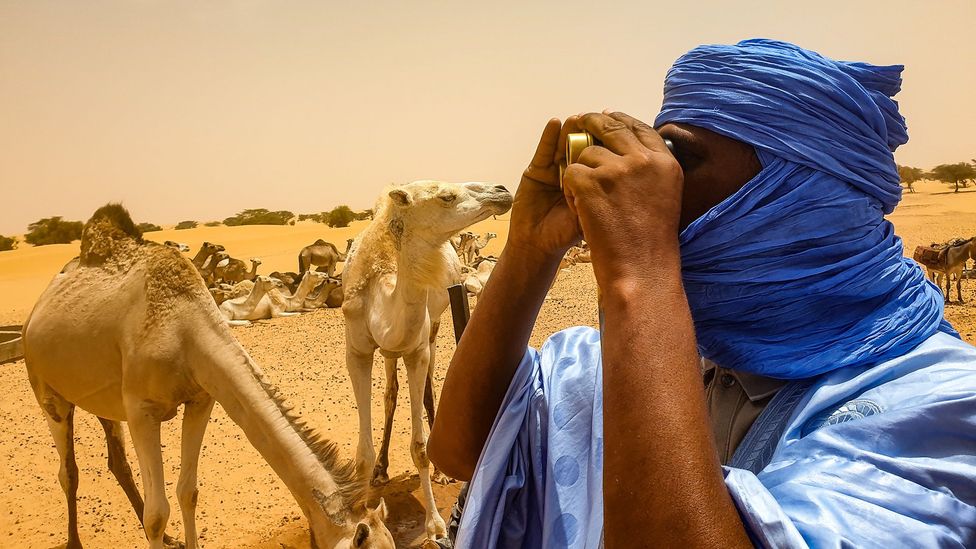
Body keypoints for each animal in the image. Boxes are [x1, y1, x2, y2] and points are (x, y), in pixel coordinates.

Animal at [23, 204, 388, 548]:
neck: (185, 328)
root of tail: (36, 311)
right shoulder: (142, 411)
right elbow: (157, 514)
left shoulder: (201, 399)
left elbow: (188, 492)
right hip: (46, 389)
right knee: (68, 471)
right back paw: (74, 540)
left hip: (103, 402)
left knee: (118, 462)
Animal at [340, 181, 516, 540]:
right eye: (446, 196)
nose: (501, 190)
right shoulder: (357, 352)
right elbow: (362, 453)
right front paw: (359, 510)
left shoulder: (417, 349)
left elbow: (419, 446)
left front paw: (434, 524)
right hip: (390, 353)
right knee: (391, 393)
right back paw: (382, 470)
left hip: (433, 327)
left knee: (429, 388)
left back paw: (441, 472)